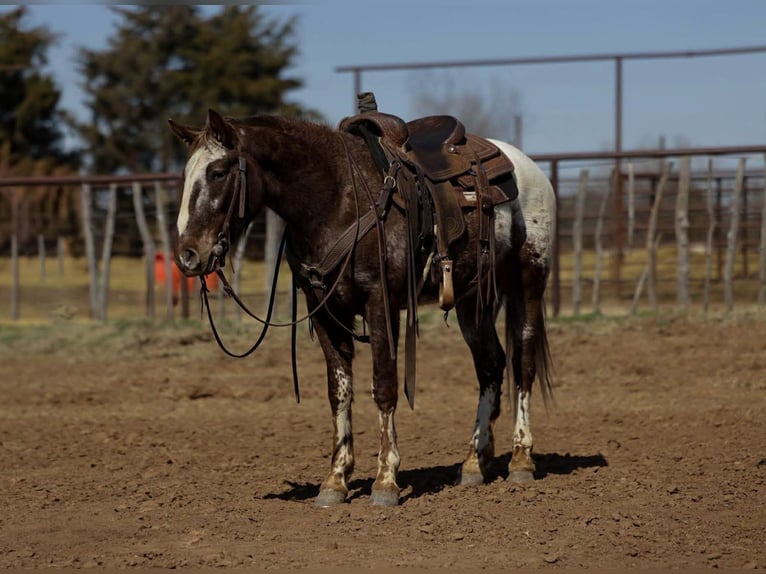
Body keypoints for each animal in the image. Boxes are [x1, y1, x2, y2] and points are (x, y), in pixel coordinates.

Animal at [168, 106, 556, 507]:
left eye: (217, 172)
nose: (187, 255)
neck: (336, 201)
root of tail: (526, 166)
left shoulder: (380, 303)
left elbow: (383, 386)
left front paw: (385, 481)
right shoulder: (324, 309)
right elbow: (338, 391)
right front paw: (335, 480)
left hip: (529, 280)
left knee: (523, 363)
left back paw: (521, 459)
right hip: (472, 300)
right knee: (491, 365)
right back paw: (474, 463)